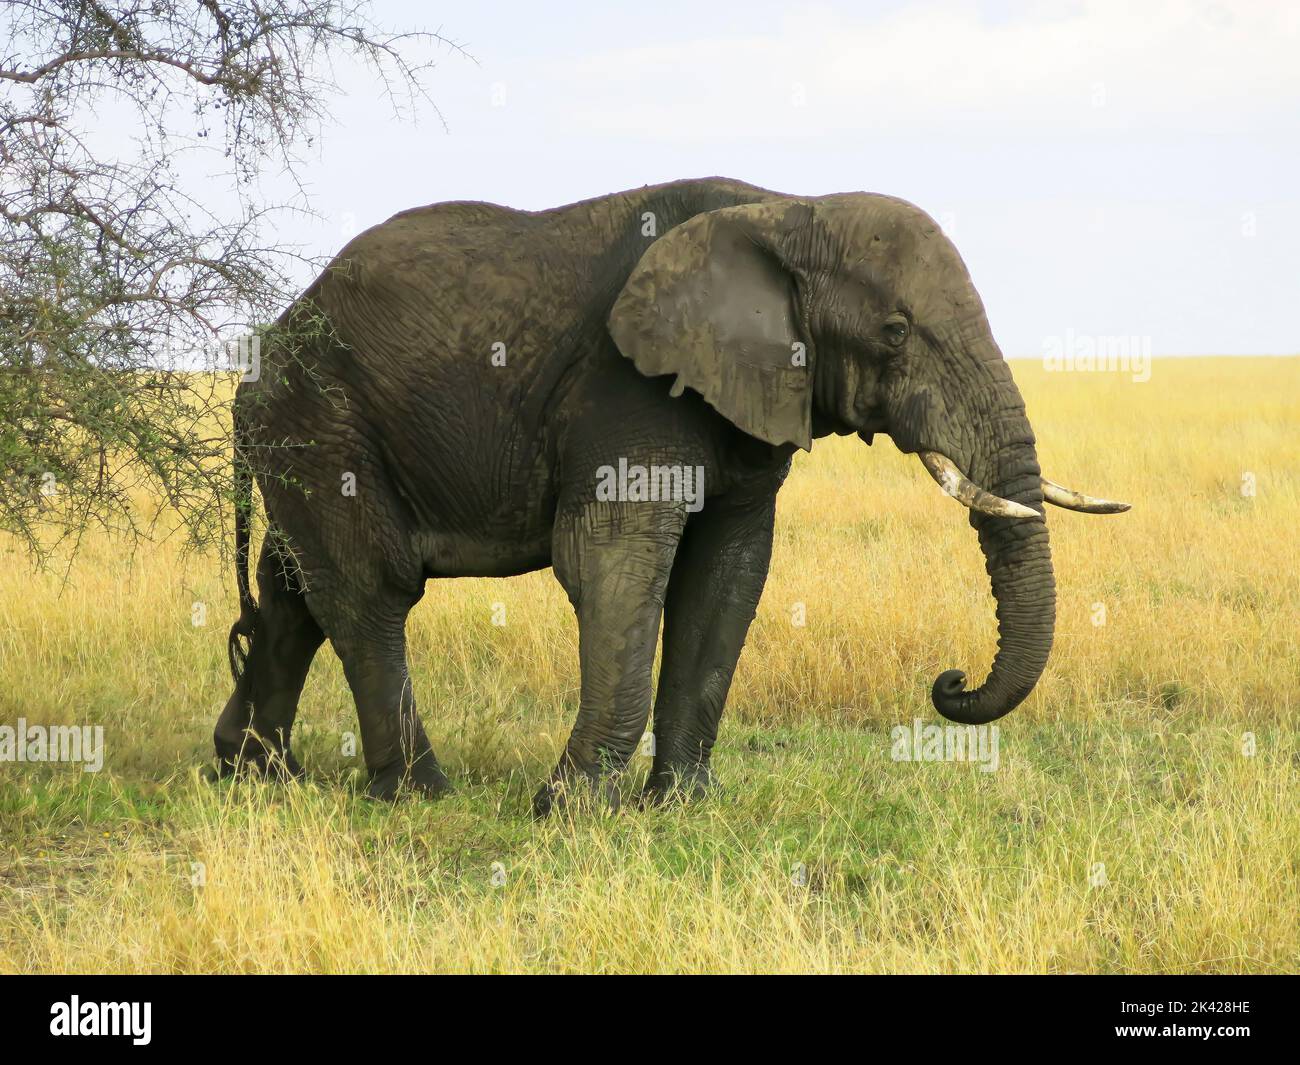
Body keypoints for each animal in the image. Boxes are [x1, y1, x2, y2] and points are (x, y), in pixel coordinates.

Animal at [215, 179, 1128, 811]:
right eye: (896, 333)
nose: (948, 679)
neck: (787, 209)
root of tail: (264, 346)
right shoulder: (628, 388)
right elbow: (615, 561)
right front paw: (569, 811)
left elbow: (728, 571)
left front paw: (680, 805)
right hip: (319, 415)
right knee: (370, 589)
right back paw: (418, 794)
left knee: (293, 588)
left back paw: (252, 773)